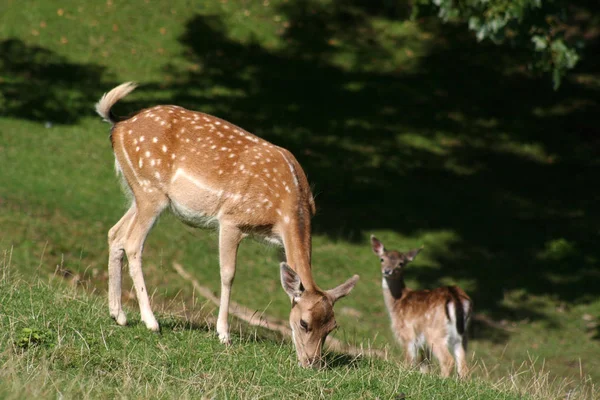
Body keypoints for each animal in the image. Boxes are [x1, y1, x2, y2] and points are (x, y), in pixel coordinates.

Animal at [93, 83, 356, 368]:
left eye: (332, 327)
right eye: (304, 323)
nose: (312, 363)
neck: (283, 209)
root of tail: (119, 125)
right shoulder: (232, 219)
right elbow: (228, 274)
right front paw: (223, 334)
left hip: (139, 194)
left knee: (115, 234)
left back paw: (118, 314)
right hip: (150, 190)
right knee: (132, 243)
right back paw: (151, 322)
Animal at [370, 236, 474, 376]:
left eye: (401, 263)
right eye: (382, 259)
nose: (387, 271)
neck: (397, 302)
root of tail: (455, 298)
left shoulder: (407, 333)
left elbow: (410, 361)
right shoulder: (423, 344)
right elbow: (425, 364)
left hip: (435, 332)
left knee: (447, 360)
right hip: (463, 336)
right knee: (463, 366)